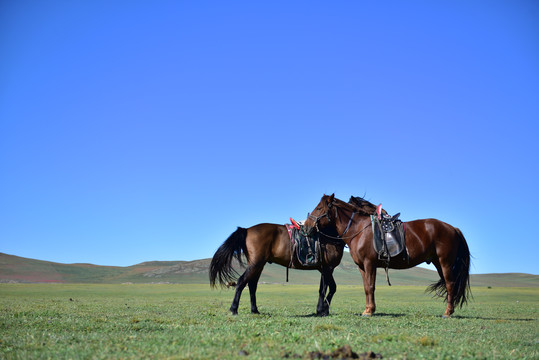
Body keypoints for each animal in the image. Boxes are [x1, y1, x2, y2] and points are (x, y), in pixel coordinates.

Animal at [209, 222, 344, 316]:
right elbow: (327, 288)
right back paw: (234, 309)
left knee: (252, 285)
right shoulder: (327, 268)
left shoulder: (324, 270)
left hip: (259, 265)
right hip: (255, 264)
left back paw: (255, 310)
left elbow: (328, 288)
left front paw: (322, 310)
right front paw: (322, 310)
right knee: (242, 281)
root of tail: (247, 230)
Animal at [304, 194, 472, 318]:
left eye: (319, 208)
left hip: (445, 263)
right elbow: (366, 287)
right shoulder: (362, 267)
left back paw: (447, 313)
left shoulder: (369, 264)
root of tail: (453, 228)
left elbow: (370, 287)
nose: (306, 227)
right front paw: (367, 309)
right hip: (438, 263)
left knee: (450, 284)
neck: (359, 230)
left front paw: (370, 311)